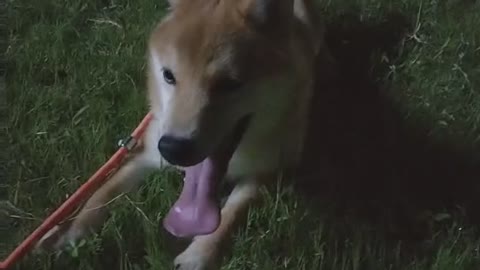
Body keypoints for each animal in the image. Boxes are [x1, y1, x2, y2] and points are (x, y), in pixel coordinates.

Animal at [36, 1, 334, 268]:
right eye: (169, 76)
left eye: (230, 84)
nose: (174, 148)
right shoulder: (147, 153)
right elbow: (100, 194)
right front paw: (72, 233)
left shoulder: (266, 173)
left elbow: (228, 215)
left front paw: (197, 256)